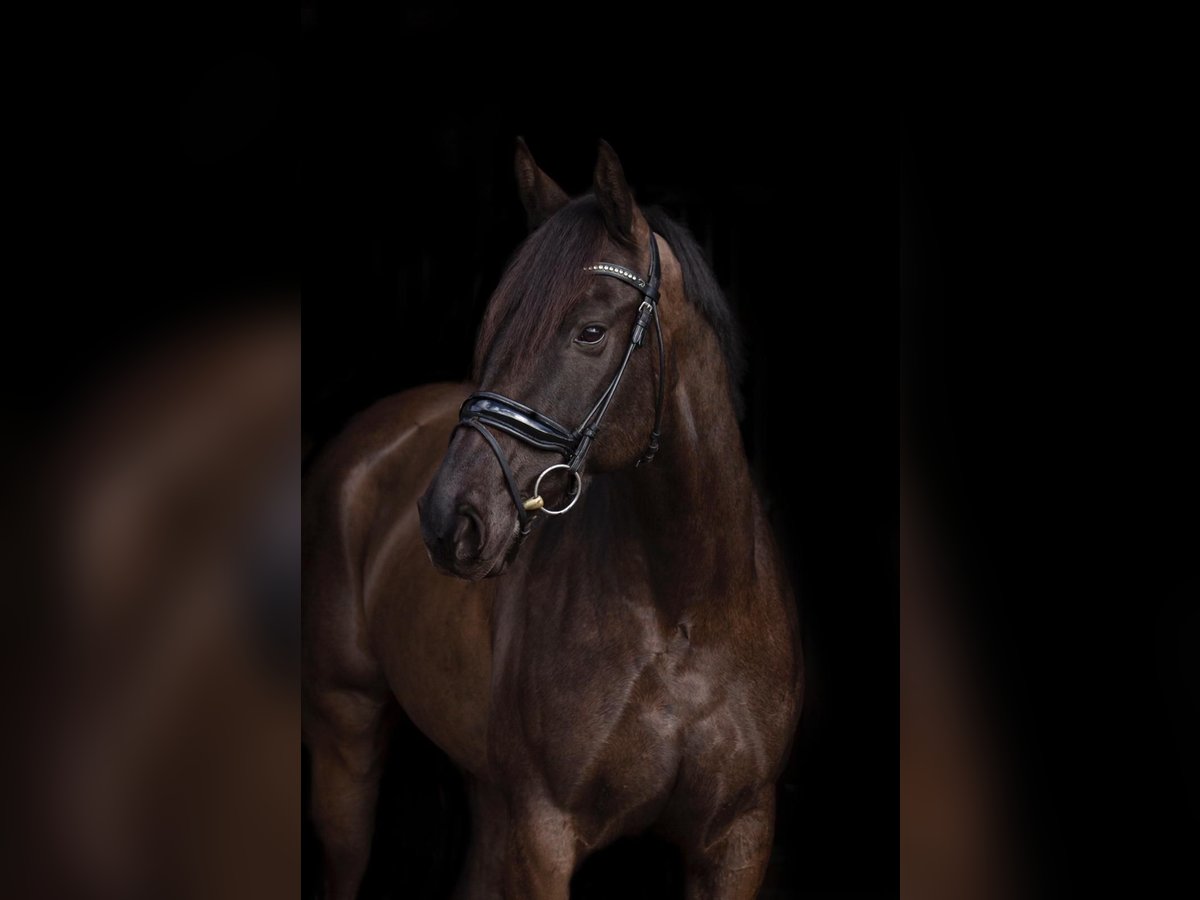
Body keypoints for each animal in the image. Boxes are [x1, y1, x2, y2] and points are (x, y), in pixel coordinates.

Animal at [302, 142, 806, 900]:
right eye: (493, 325)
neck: (683, 608)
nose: (450, 520)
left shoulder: (739, 836)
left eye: (590, 332)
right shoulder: (543, 833)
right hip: (346, 734)